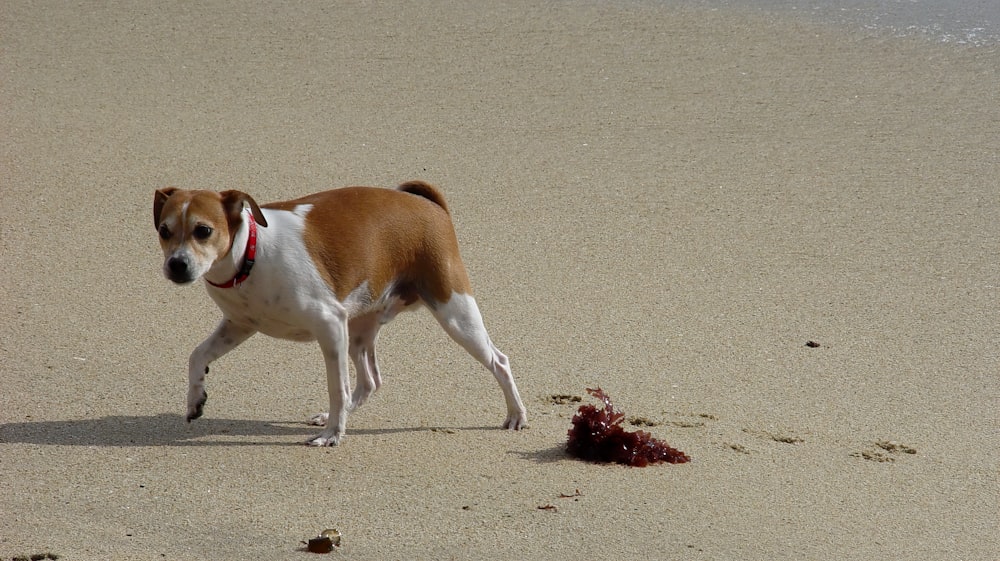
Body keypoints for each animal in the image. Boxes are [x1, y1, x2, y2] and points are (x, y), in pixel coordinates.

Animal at [152, 182, 528, 444]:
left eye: (203, 230)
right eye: (164, 231)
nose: (176, 265)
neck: (251, 254)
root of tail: (431, 205)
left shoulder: (329, 325)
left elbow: (337, 387)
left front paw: (333, 435)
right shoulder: (239, 325)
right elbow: (197, 355)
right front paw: (195, 399)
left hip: (455, 313)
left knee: (499, 361)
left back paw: (516, 415)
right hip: (360, 328)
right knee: (370, 380)